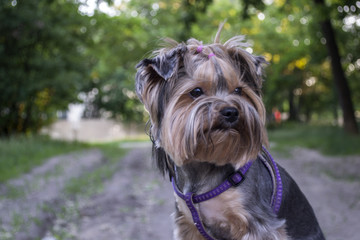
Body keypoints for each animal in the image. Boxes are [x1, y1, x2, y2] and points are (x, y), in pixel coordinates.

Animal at [135, 24, 326, 240]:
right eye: (196, 92)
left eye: (238, 90)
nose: (231, 111)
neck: (204, 166)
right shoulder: (189, 224)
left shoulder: (257, 223)